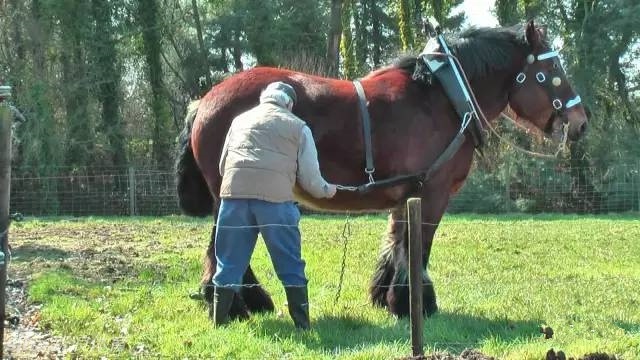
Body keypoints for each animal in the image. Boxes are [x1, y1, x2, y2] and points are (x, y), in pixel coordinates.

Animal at [174, 21, 584, 320]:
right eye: (552, 70)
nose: (581, 122)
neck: (442, 99)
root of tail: (203, 100)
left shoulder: (407, 193)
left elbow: (397, 243)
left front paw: (389, 296)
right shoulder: (433, 193)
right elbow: (418, 247)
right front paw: (414, 304)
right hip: (233, 190)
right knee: (222, 246)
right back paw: (234, 303)